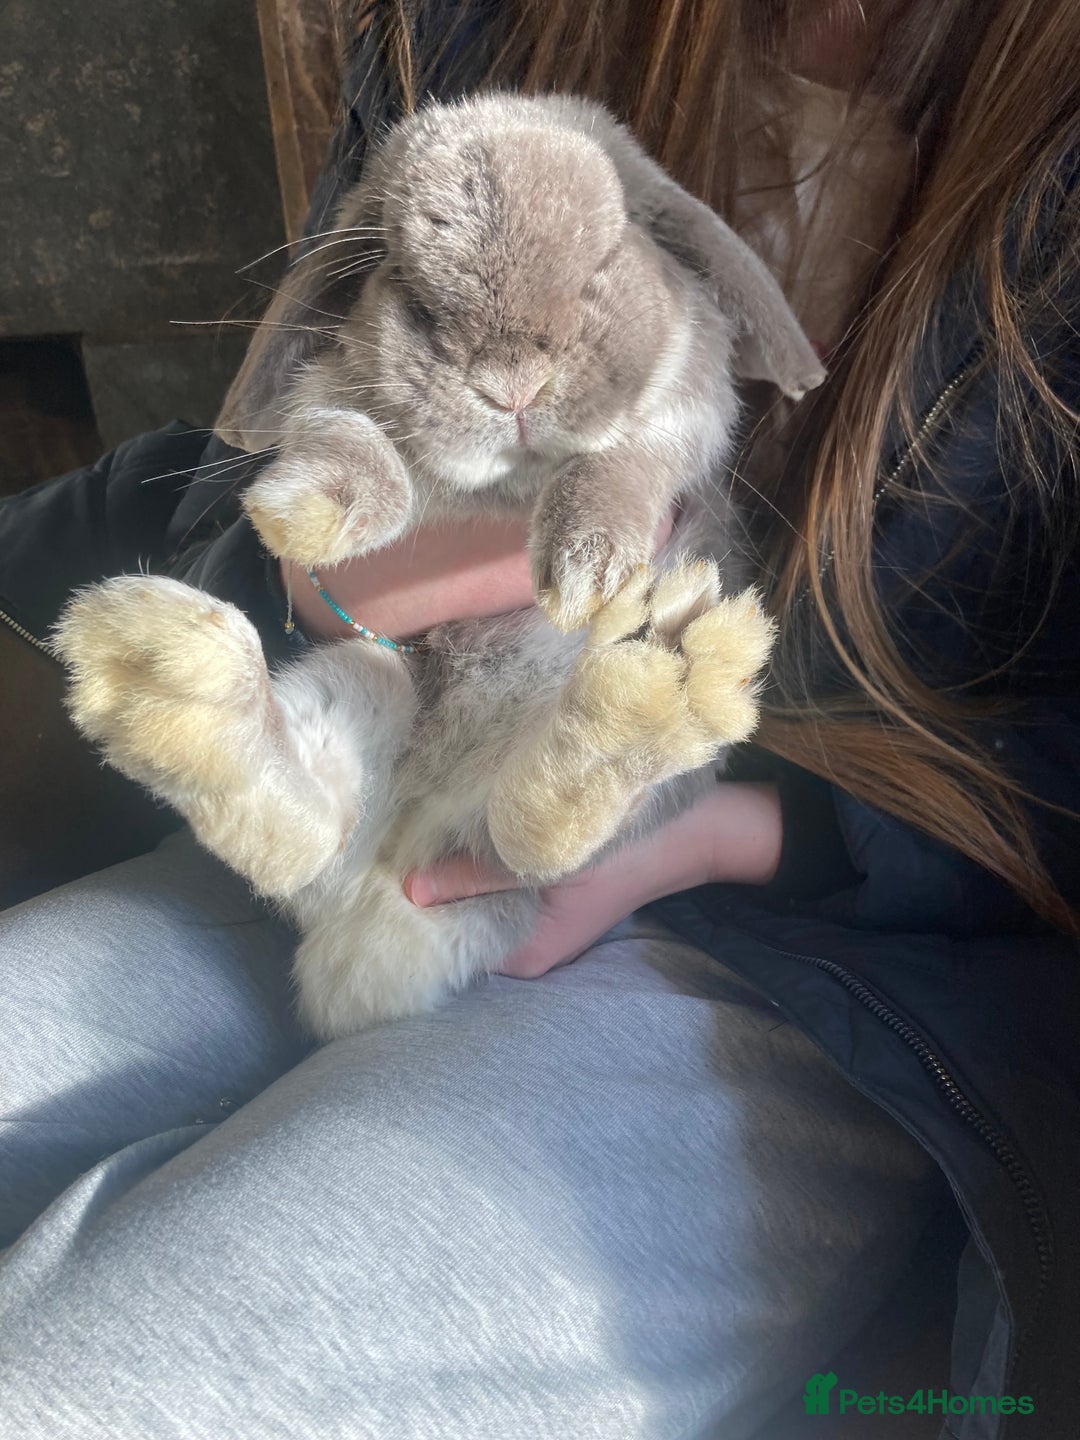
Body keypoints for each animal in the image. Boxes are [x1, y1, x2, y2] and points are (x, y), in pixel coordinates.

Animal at [53, 93, 824, 1040]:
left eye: (606, 259)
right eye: (411, 296)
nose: (512, 384)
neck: (502, 490)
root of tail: (383, 895)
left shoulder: (681, 424)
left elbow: (622, 466)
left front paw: (588, 566)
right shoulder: (326, 405)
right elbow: (355, 442)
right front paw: (310, 512)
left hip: (597, 832)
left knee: (529, 836)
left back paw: (658, 696)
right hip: (362, 682)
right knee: (310, 834)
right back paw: (163, 679)